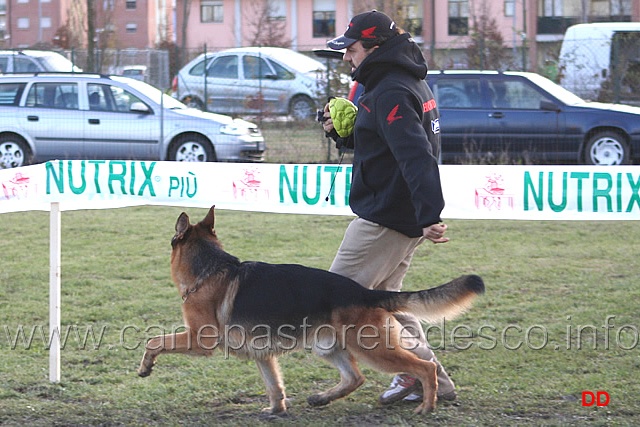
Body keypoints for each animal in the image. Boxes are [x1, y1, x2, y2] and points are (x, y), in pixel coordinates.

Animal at [138, 206, 482, 416]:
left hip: (372, 348)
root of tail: (365, 291)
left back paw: (426, 406)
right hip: (328, 346)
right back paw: (322, 398)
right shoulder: (262, 354)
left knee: (424, 367)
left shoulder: (199, 339)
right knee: (356, 377)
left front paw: (145, 367)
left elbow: (154, 341)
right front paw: (276, 410)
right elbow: (274, 386)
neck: (208, 271)